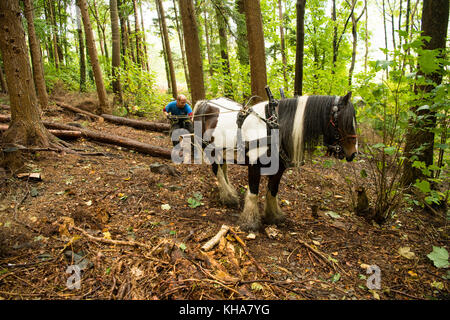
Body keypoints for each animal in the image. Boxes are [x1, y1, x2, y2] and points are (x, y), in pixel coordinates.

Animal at [191, 91, 358, 231]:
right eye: (345, 122)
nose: (354, 153)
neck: (272, 127)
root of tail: (204, 103)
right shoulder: (254, 166)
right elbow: (253, 193)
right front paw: (250, 222)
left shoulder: (279, 168)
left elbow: (272, 190)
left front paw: (273, 215)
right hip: (210, 150)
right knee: (217, 171)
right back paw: (228, 196)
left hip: (223, 152)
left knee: (223, 169)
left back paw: (230, 191)